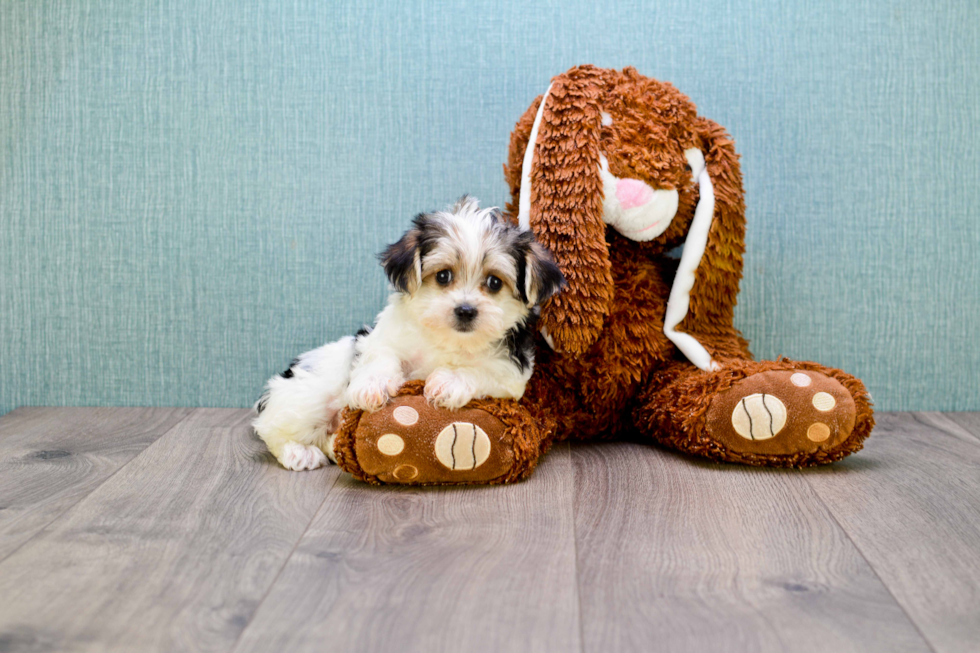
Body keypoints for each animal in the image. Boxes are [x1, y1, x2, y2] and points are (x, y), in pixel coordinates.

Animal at [253, 195, 568, 468]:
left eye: (494, 282)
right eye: (443, 276)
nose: (466, 310)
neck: (449, 340)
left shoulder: (511, 373)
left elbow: (481, 370)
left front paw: (449, 381)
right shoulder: (382, 338)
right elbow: (382, 356)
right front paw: (372, 386)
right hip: (311, 392)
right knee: (270, 427)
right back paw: (298, 452)